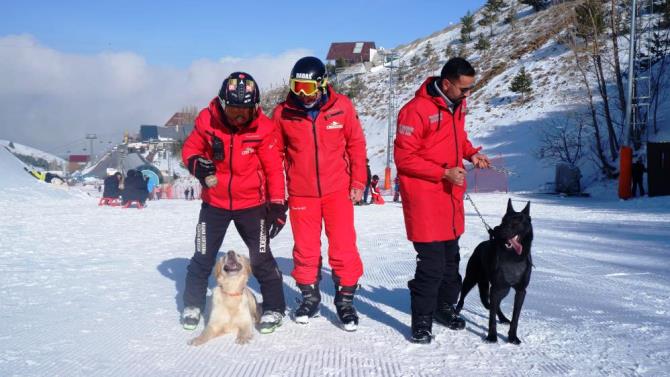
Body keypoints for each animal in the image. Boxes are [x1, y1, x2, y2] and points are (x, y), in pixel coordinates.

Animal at [456, 200, 536, 344]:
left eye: (516, 222)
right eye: (503, 220)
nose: (498, 229)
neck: (513, 257)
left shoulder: (520, 291)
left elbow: (515, 318)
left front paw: (512, 337)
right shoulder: (496, 288)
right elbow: (491, 317)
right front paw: (492, 336)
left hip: (504, 289)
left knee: (496, 304)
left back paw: (503, 318)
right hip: (471, 279)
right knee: (463, 297)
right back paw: (456, 311)